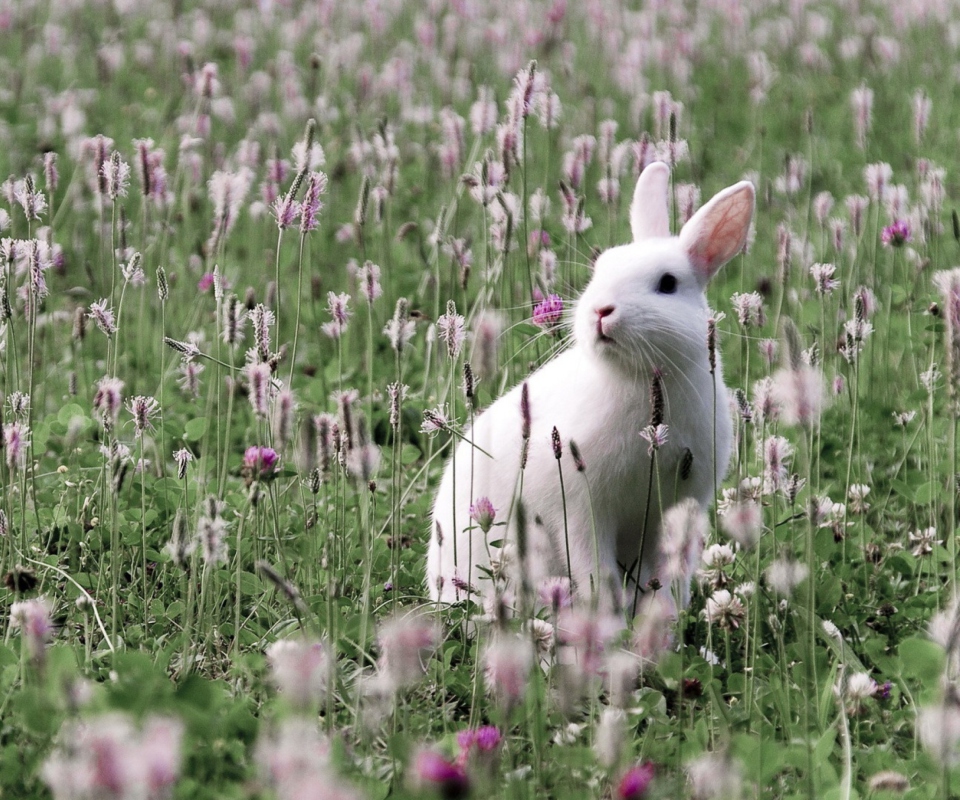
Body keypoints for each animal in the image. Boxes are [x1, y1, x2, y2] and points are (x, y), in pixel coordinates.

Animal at [430, 159, 756, 616]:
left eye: (668, 284)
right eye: (600, 269)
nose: (602, 310)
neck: (637, 379)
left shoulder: (680, 508)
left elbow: (670, 574)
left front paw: (662, 622)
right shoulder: (580, 510)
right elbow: (595, 572)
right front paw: (610, 621)